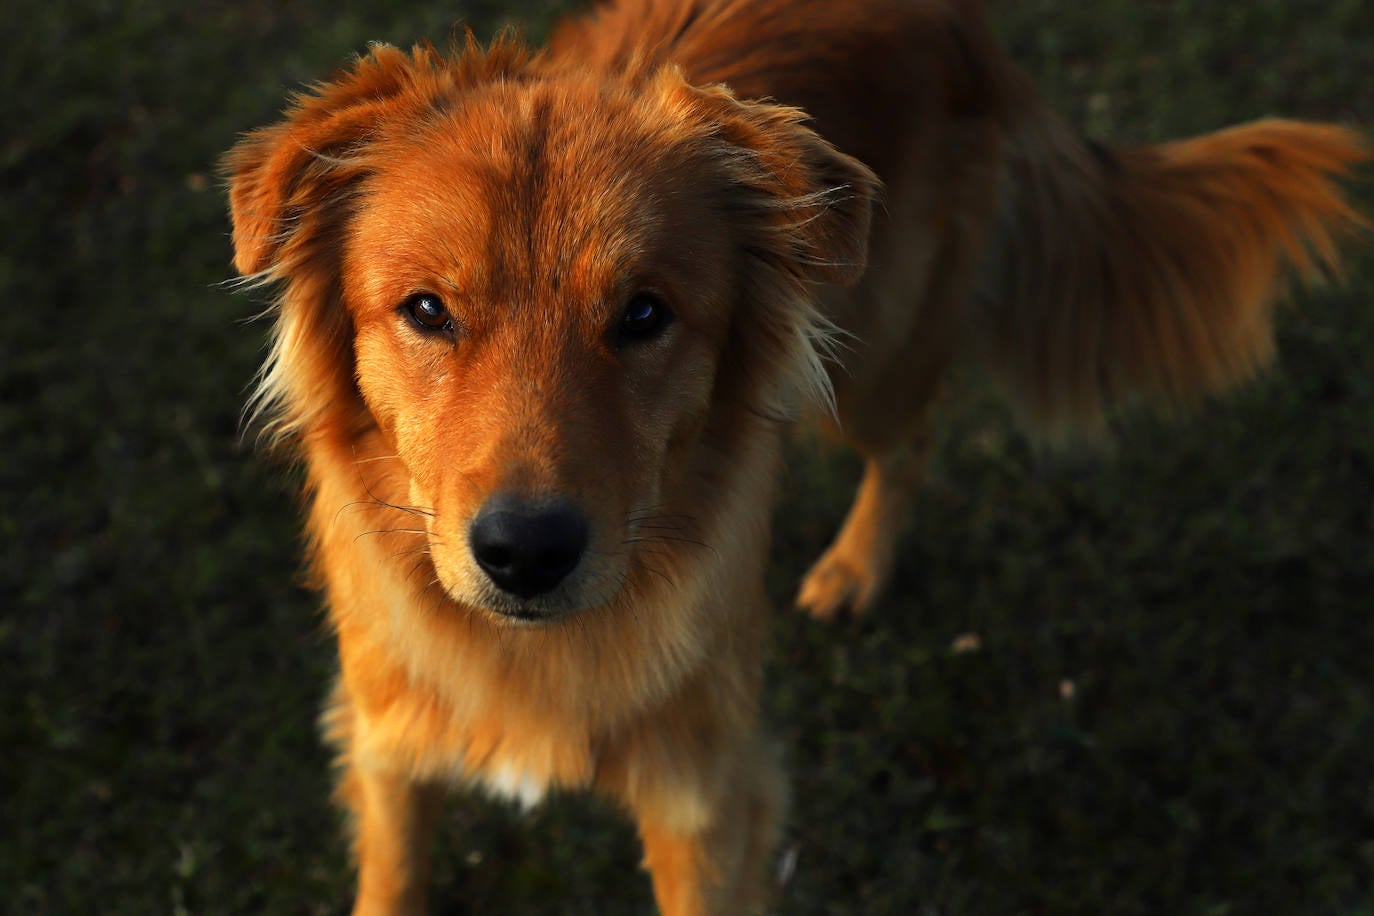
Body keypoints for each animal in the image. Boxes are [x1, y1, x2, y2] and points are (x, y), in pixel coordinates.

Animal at [222, 1, 1363, 916]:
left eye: (644, 315)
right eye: (426, 310)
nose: (526, 553)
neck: (534, 656)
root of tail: (958, 19)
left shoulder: (708, 798)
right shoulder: (388, 751)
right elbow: (393, 876)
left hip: (869, 369)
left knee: (911, 439)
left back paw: (857, 568)